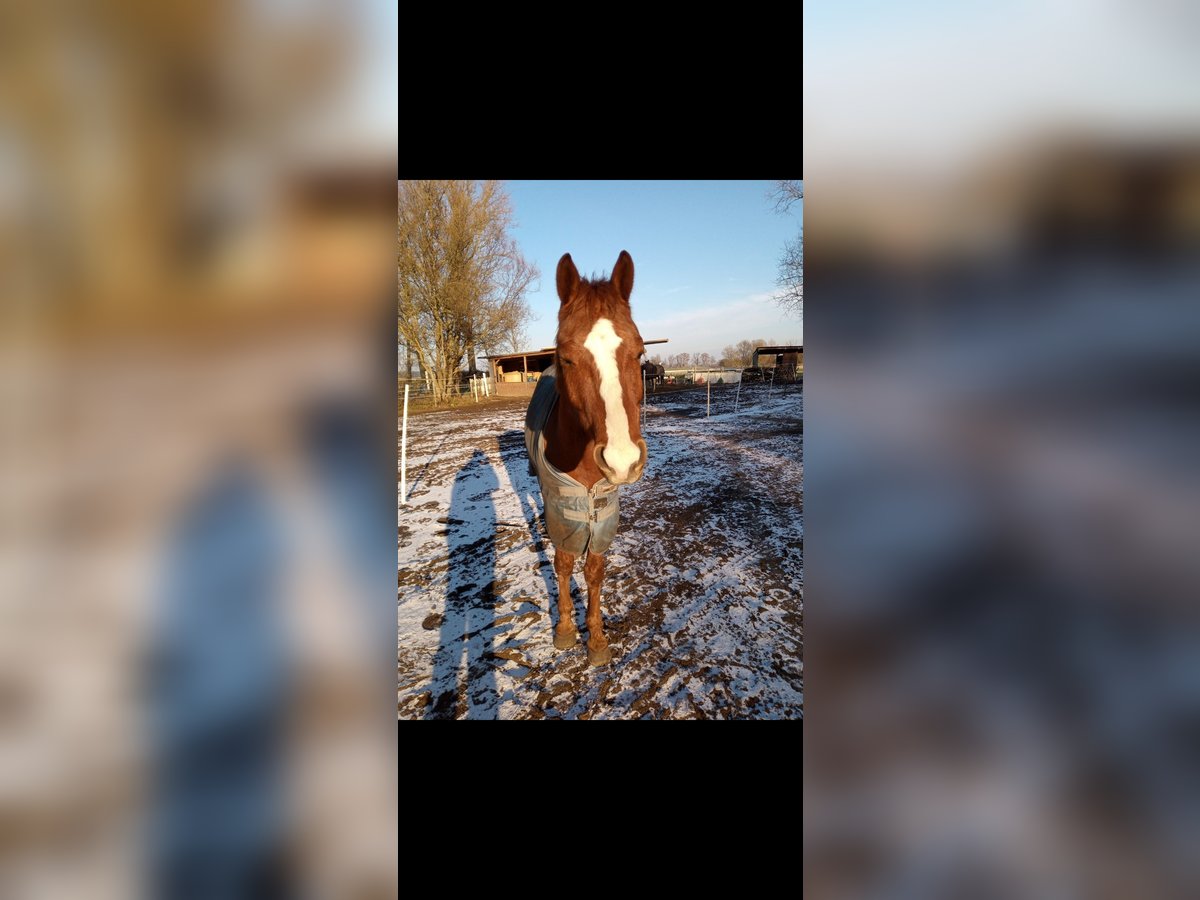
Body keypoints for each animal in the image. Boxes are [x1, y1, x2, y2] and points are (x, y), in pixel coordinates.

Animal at [525, 250, 648, 667]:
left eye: (640, 352)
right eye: (567, 358)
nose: (622, 460)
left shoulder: (604, 514)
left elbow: (594, 570)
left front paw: (595, 638)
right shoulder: (563, 512)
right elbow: (563, 564)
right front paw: (564, 629)